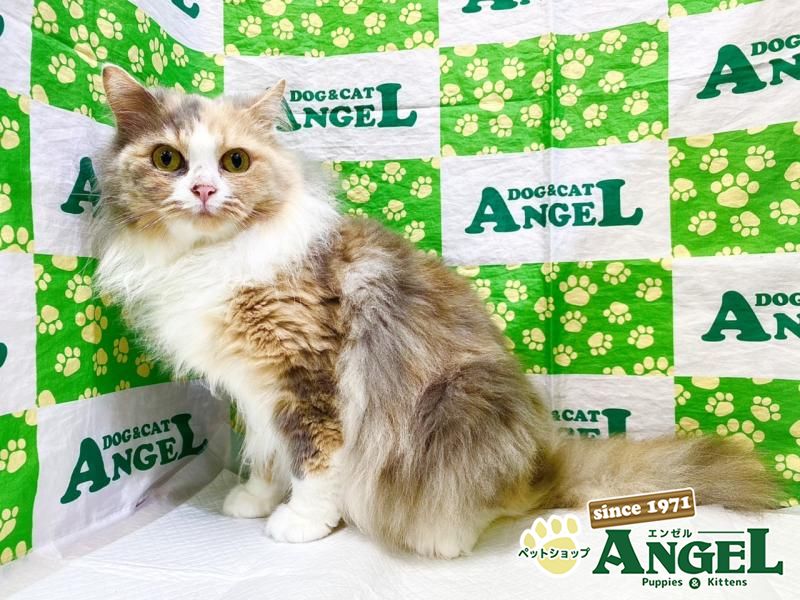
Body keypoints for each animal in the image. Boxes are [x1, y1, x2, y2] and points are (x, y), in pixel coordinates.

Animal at [92, 65, 777, 558]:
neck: (209, 260)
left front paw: (301, 523)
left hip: (455, 405)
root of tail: (543, 464)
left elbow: (314, 460)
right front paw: (257, 499)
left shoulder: (307, 374)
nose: (204, 190)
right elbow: (265, 452)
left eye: (234, 161)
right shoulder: (253, 388)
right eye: (168, 160)